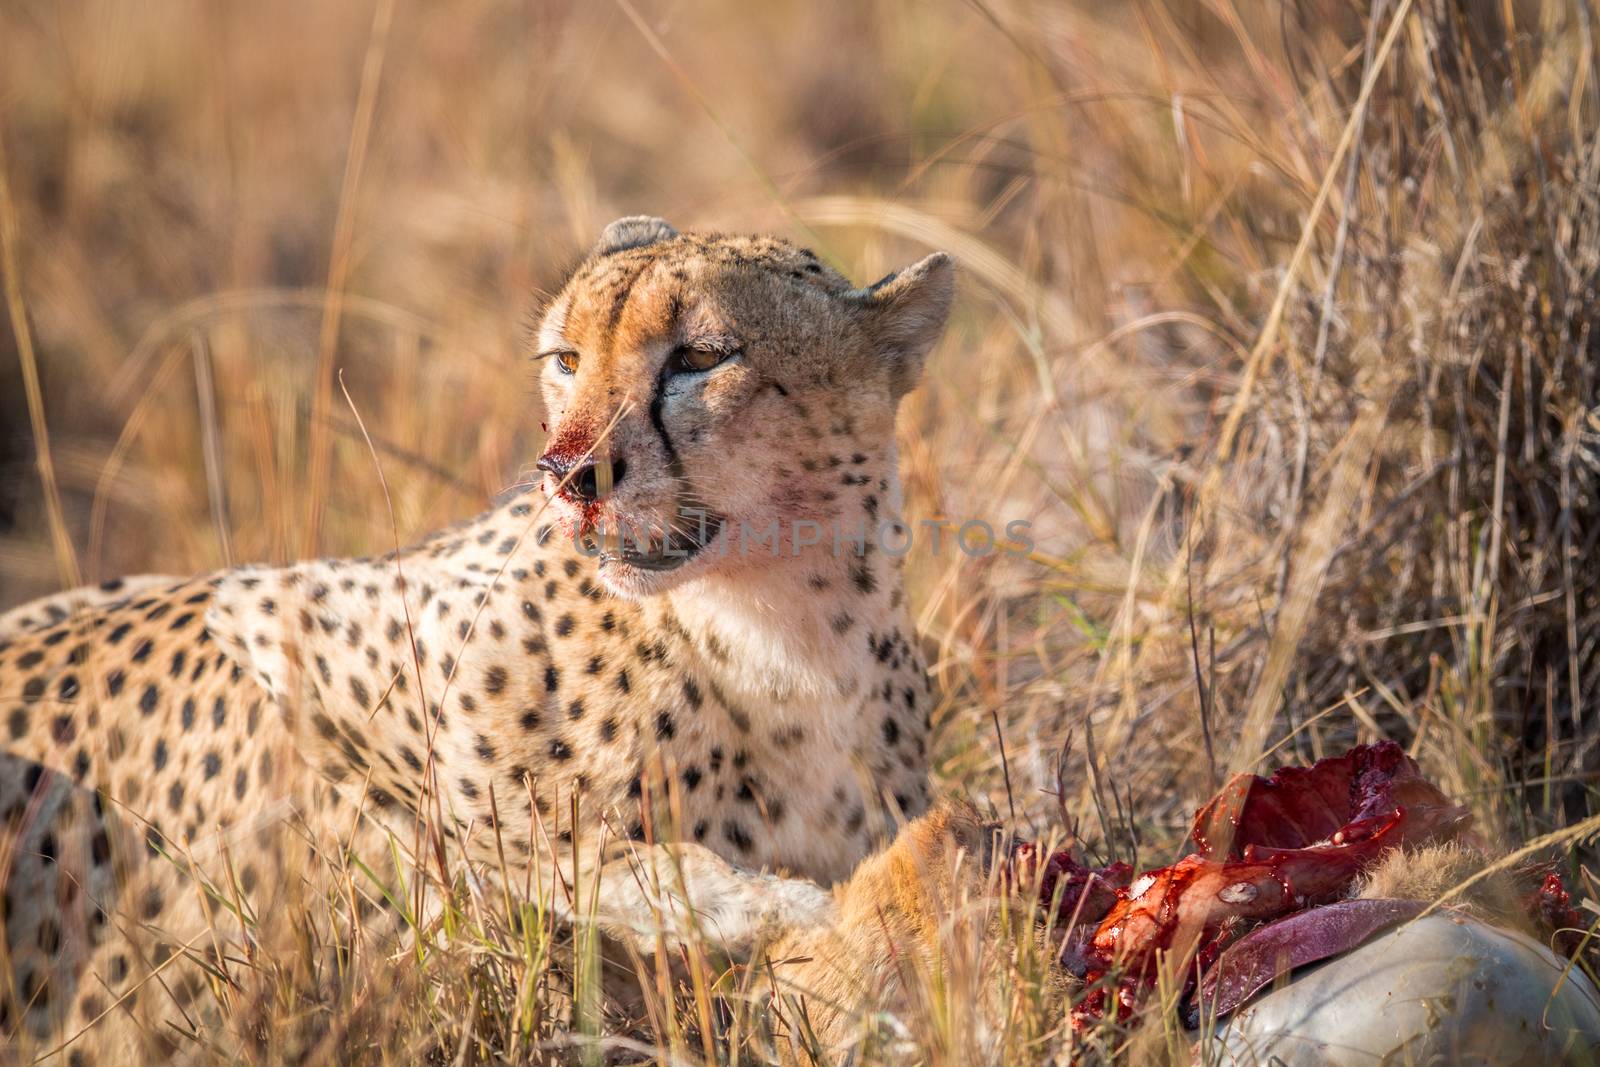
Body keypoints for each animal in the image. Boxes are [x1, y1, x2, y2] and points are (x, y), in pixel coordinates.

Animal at [0, 214, 947, 1062]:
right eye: (566, 360)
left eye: (702, 358)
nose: (569, 474)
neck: (780, 631)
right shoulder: (293, 626)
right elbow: (553, 848)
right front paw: (765, 902)